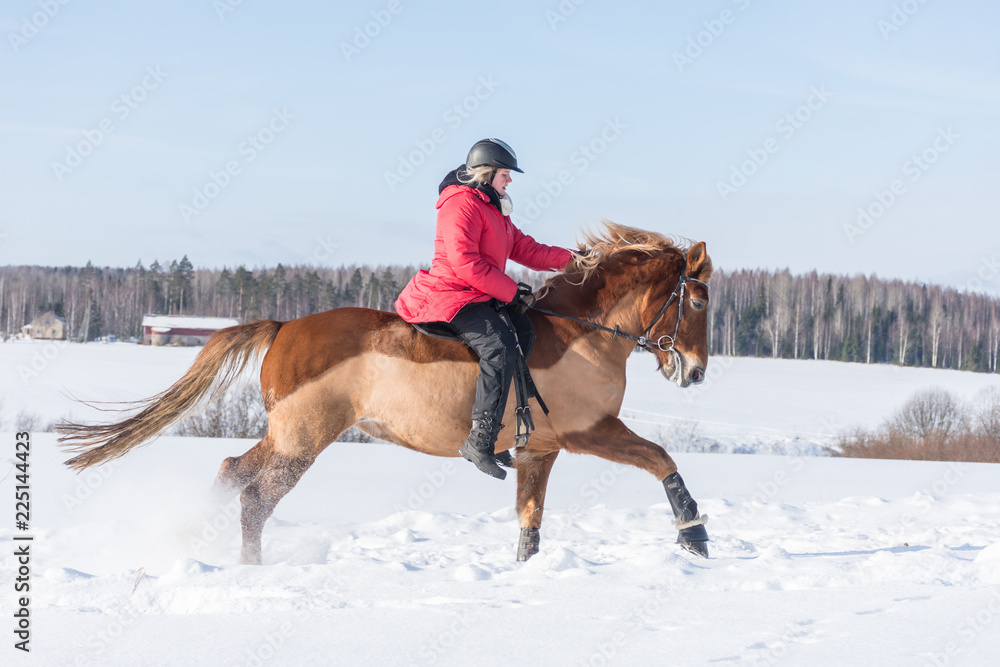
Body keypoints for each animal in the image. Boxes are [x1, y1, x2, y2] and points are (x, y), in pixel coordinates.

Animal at [58, 222, 715, 565]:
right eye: (700, 300)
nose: (696, 373)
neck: (584, 333)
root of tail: (284, 326)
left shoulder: (540, 450)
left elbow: (529, 524)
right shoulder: (590, 431)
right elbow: (661, 458)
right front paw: (695, 536)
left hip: (289, 436)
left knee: (238, 479)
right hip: (301, 438)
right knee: (250, 490)